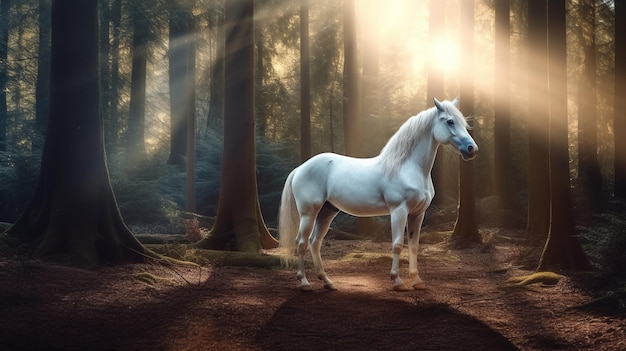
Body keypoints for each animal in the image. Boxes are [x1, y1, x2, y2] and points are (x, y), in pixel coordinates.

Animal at [276, 98, 476, 292]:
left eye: (463, 122)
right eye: (450, 121)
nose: (471, 149)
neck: (407, 168)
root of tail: (300, 168)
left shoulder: (417, 214)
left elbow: (413, 246)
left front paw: (417, 281)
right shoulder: (399, 211)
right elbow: (397, 245)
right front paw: (397, 281)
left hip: (327, 212)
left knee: (315, 242)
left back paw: (327, 282)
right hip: (309, 213)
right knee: (301, 242)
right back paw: (304, 283)